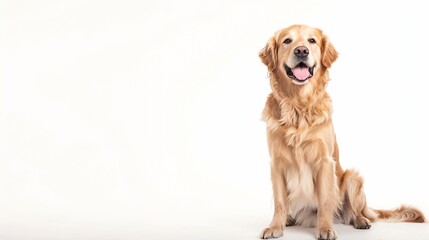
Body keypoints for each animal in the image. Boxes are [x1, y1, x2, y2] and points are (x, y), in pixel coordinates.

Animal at [258, 24, 424, 240]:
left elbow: (325, 201)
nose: (301, 51)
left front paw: (325, 228)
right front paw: (275, 226)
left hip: (353, 178)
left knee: (356, 212)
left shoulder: (325, 162)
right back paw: (289, 219)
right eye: (287, 41)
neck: (298, 105)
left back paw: (361, 221)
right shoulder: (277, 163)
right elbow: (279, 201)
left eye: (312, 40)